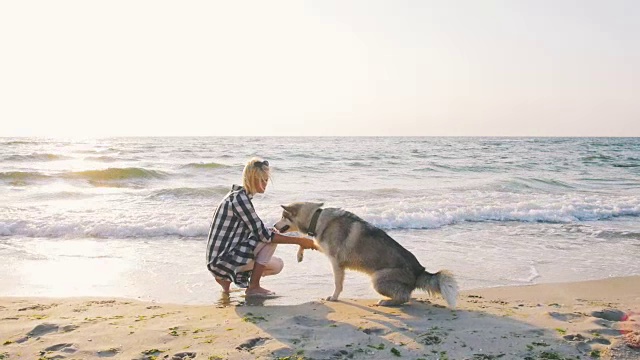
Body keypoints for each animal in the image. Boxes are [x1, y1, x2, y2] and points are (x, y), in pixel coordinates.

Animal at [272, 202, 458, 306]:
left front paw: (334, 297)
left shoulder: (336, 262)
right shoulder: (322, 247)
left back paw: (386, 302)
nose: (273, 226)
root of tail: (419, 270)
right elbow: (306, 241)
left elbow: (337, 284)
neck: (316, 219)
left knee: (404, 297)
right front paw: (300, 254)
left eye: (282, 216)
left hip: (377, 280)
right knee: (406, 294)